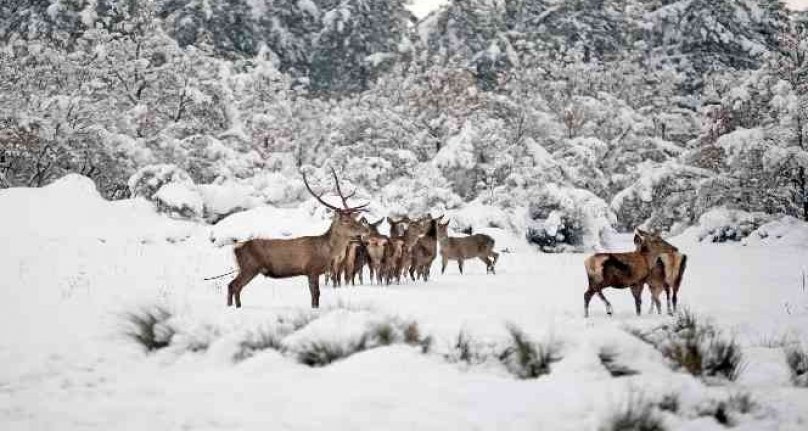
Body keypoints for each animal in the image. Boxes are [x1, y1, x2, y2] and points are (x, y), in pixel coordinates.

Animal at [224, 170, 370, 310]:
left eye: (355, 218)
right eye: (346, 221)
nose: (366, 230)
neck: (326, 252)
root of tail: (236, 247)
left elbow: (315, 294)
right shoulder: (312, 269)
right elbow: (316, 294)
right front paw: (314, 308)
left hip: (246, 268)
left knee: (233, 285)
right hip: (249, 266)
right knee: (233, 285)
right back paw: (235, 307)